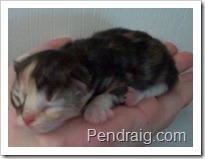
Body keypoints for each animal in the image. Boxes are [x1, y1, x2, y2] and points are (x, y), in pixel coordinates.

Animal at [10, 28, 178, 133]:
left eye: (50, 106)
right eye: (18, 99)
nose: (26, 119)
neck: (80, 60)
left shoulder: (119, 79)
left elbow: (109, 93)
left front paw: (95, 110)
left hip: (164, 70)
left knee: (161, 87)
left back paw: (134, 96)